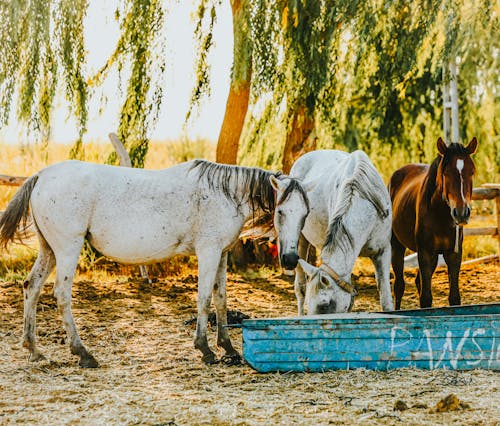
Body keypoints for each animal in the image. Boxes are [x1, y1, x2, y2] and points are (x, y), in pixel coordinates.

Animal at [0, 159, 308, 366]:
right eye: (281, 211)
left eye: (305, 214)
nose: (291, 259)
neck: (224, 193)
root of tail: (41, 175)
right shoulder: (208, 252)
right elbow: (204, 299)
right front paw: (205, 349)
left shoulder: (221, 254)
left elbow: (221, 300)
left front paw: (228, 347)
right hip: (67, 249)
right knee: (61, 295)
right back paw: (83, 353)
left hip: (49, 250)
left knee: (31, 287)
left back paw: (34, 349)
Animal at [390, 138, 476, 308]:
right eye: (446, 173)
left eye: (471, 172)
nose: (461, 213)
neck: (440, 215)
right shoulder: (425, 252)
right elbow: (426, 299)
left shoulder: (453, 254)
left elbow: (454, 298)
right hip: (397, 246)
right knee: (399, 286)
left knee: (417, 282)